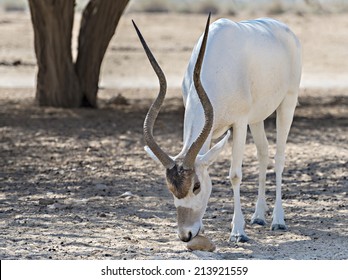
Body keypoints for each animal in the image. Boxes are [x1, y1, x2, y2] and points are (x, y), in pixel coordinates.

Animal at [133, 14, 302, 243]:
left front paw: (238, 232)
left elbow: (235, 175)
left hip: (287, 103)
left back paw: (278, 220)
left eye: (196, 186)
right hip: (256, 118)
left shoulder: (239, 123)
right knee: (263, 152)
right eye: (171, 188)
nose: (185, 235)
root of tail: (284, 29)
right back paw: (258, 216)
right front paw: (203, 229)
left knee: (279, 158)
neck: (216, 65)